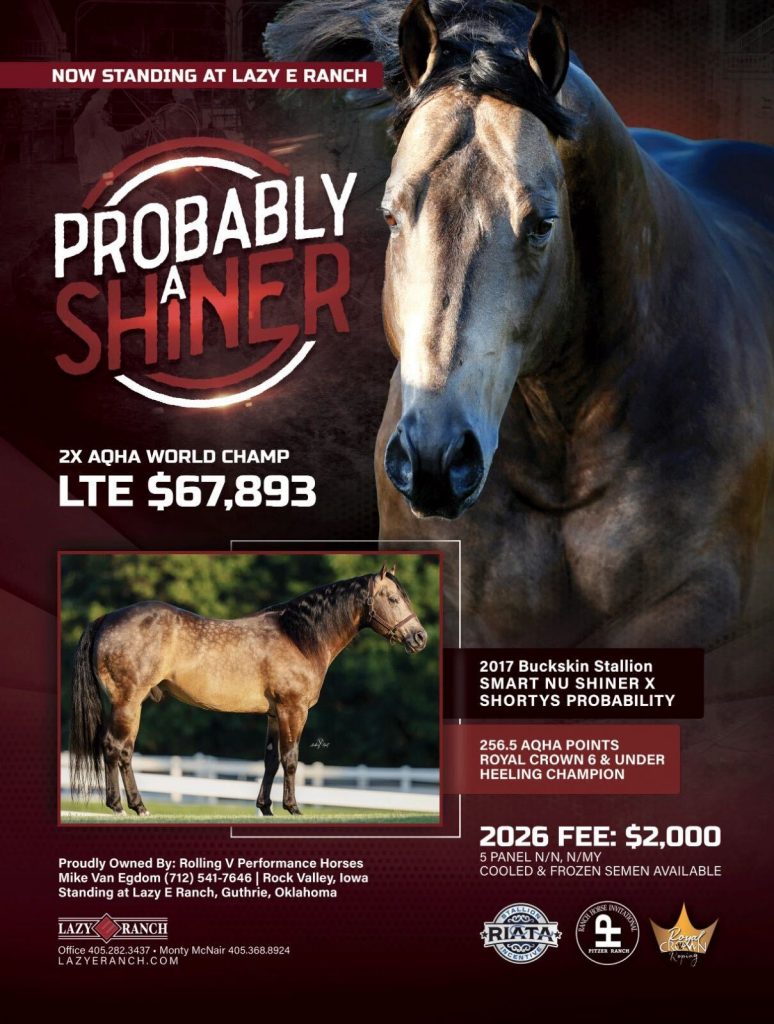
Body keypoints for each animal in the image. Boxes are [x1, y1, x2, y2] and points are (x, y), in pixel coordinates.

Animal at [69, 566, 427, 817]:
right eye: (393, 599)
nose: (420, 637)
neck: (298, 637)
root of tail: (106, 618)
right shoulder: (293, 710)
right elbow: (291, 759)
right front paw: (293, 807)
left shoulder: (274, 714)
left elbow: (270, 761)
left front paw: (265, 807)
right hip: (128, 703)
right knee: (117, 749)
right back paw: (128, 806)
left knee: (118, 750)